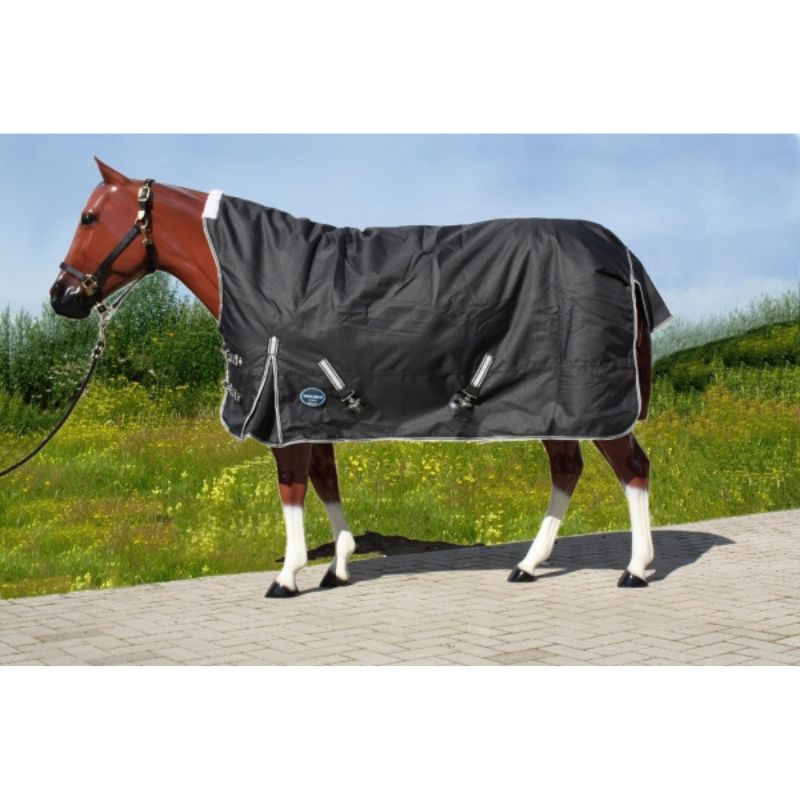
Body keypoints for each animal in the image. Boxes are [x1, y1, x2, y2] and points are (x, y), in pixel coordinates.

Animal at [50, 158, 668, 597]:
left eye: (88, 217)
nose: (62, 297)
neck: (257, 272)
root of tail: (624, 255)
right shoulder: (311, 410)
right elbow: (325, 481)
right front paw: (338, 567)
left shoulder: (286, 407)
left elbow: (293, 488)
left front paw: (288, 576)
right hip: (553, 404)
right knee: (567, 469)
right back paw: (528, 565)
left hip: (593, 401)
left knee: (633, 469)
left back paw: (636, 569)